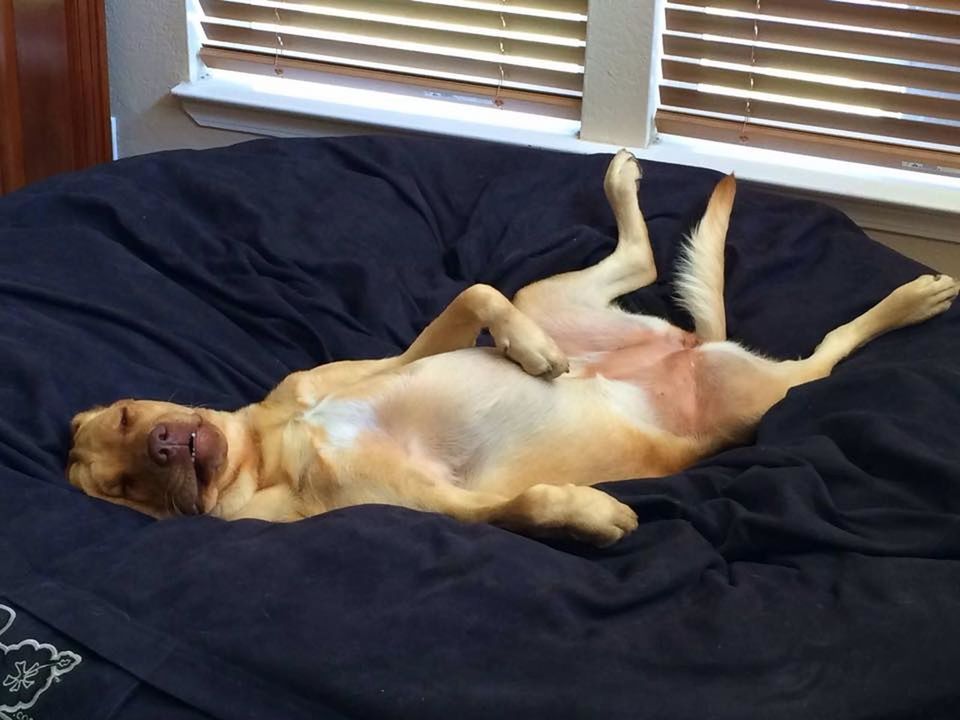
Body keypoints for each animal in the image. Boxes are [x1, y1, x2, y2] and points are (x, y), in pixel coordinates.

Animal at [67, 150, 960, 544]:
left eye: (124, 415)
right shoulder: (435, 506)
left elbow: (476, 294)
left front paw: (528, 355)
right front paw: (594, 515)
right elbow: (525, 505)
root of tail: (682, 351)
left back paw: (621, 183)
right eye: (120, 490)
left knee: (632, 265)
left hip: (558, 300)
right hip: (758, 395)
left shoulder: (382, 363)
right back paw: (918, 297)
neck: (267, 451)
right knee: (824, 356)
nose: (166, 442)